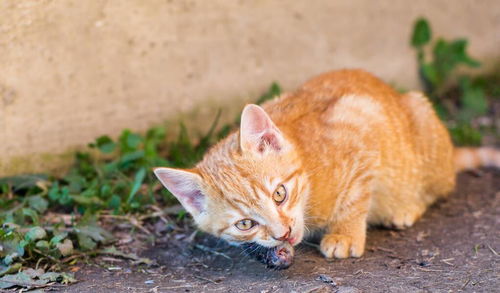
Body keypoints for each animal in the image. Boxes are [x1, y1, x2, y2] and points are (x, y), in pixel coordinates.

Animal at [154, 69, 498, 262]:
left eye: (279, 194)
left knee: (437, 188)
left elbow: (355, 197)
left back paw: (405, 208)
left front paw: (344, 234)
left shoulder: (362, 119)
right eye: (245, 224)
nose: (283, 233)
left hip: (423, 124)